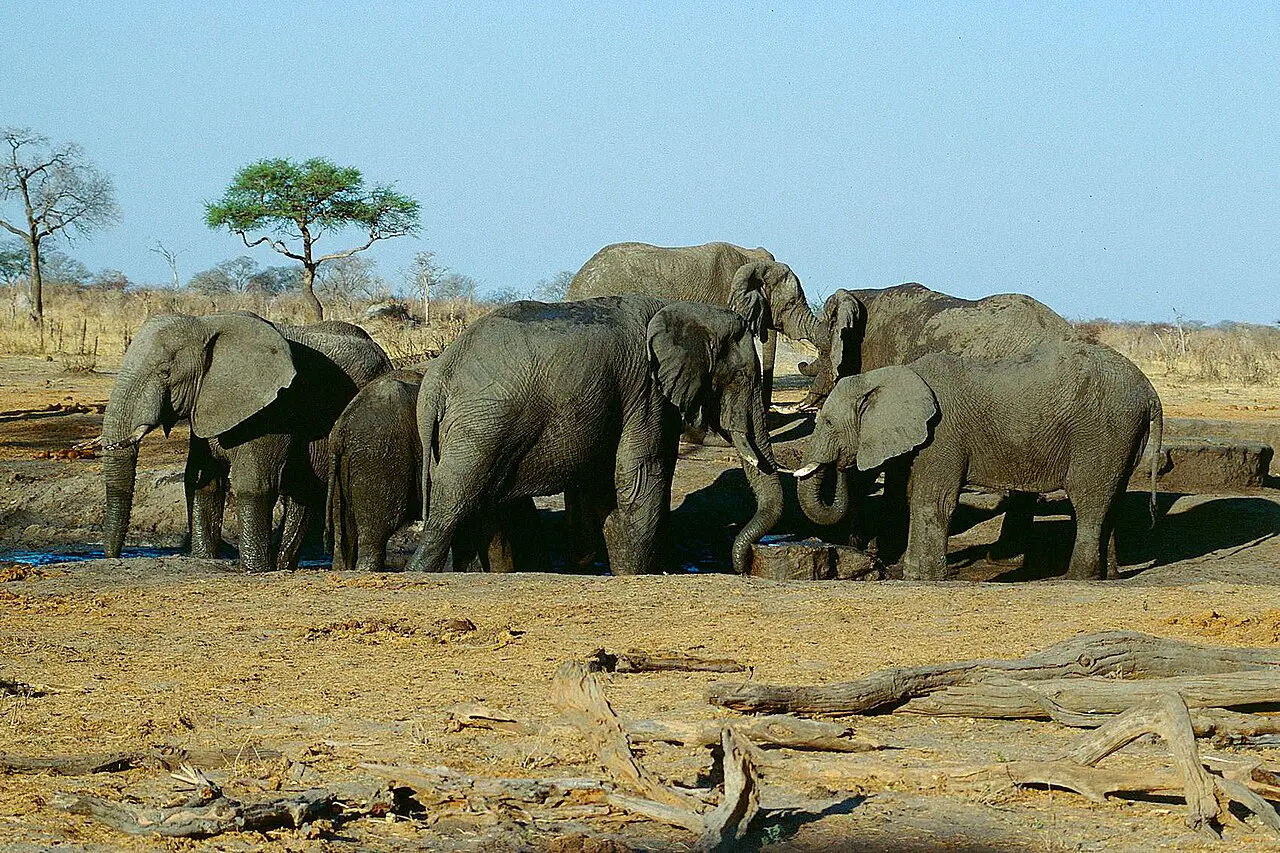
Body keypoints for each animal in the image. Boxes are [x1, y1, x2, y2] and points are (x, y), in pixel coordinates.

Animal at [101, 312, 389, 571]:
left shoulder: (272, 408)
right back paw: (283, 566)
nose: (113, 558)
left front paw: (254, 569)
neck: (205, 324)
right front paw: (205, 559)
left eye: (165, 372)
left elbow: (254, 483)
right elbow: (202, 481)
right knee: (303, 491)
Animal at [401, 295, 778, 573]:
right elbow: (641, 476)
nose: (744, 567)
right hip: (480, 427)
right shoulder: (647, 391)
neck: (685, 310)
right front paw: (639, 575)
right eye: (743, 377)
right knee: (453, 506)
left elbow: (609, 488)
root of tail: (437, 377)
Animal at [788, 338, 1162, 578]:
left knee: (1088, 502)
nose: (841, 466)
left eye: (827, 423)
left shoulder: (942, 434)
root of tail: (1150, 392)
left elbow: (932, 502)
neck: (893, 375)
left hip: (1101, 432)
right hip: (1123, 438)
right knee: (1111, 501)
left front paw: (922, 578)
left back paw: (1076, 577)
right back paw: (1107, 576)